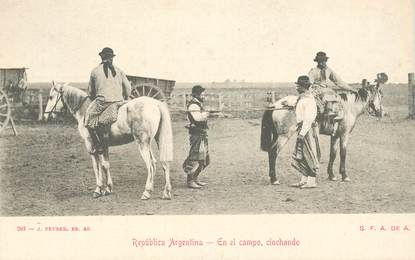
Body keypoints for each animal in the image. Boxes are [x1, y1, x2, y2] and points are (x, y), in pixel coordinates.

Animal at [42, 82, 172, 200]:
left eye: (50, 97)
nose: (45, 116)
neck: (85, 110)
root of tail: (156, 103)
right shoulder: (104, 146)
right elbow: (105, 165)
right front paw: (108, 188)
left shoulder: (91, 147)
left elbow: (97, 167)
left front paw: (98, 189)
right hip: (155, 141)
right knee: (162, 164)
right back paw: (166, 192)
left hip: (142, 143)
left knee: (150, 166)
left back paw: (147, 192)